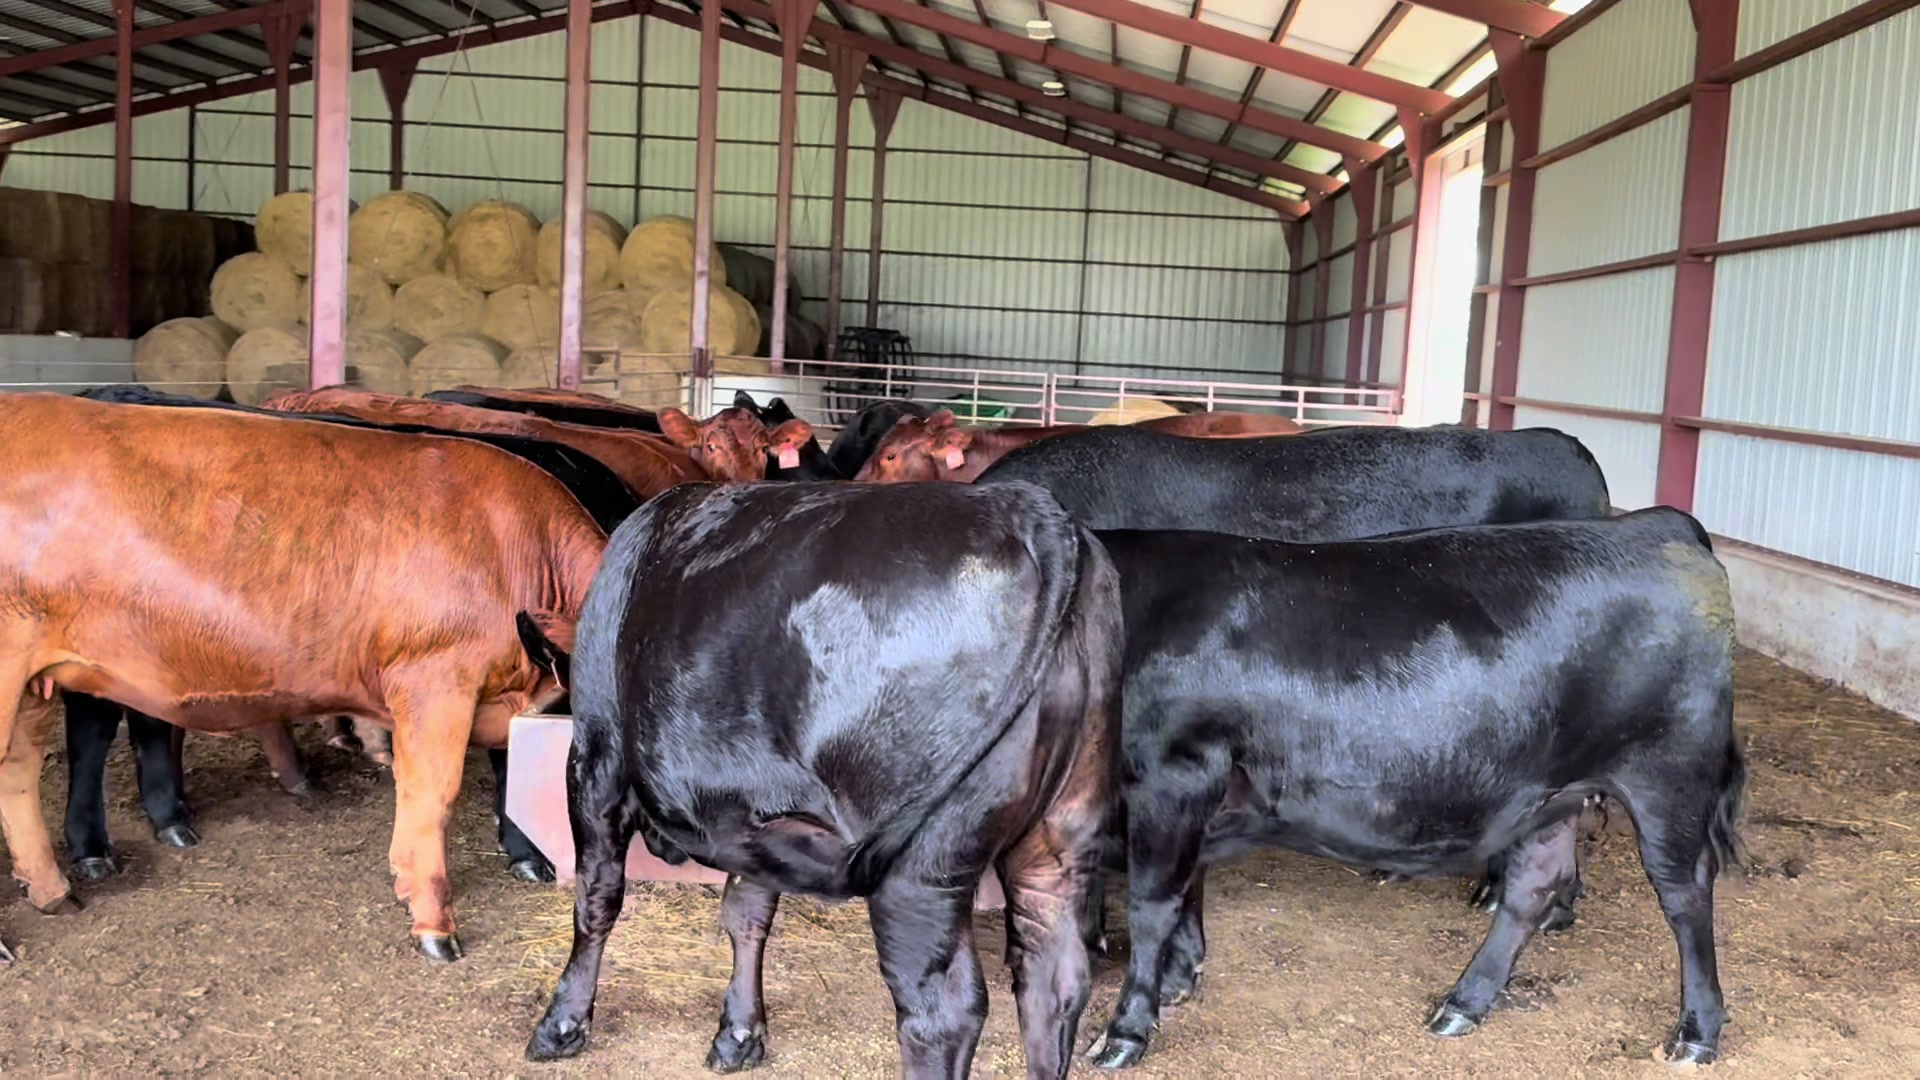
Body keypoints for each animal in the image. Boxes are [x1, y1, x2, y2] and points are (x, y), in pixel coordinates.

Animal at [0, 393, 603, 962]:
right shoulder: (436, 680)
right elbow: (434, 795)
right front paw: (435, 925)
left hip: (33, 680)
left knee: (18, 771)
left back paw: (52, 890)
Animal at [519, 482, 1124, 1080]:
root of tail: (1031, 509)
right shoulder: (750, 815)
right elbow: (746, 913)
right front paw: (740, 1033)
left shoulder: (596, 759)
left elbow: (597, 897)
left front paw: (561, 1023)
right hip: (1062, 835)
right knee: (1053, 981)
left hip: (924, 868)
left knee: (943, 1013)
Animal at [1082, 509, 1745, 1068]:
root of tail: (1657, 525)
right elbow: (1188, 887)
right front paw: (1178, 978)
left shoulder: (1170, 778)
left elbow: (1151, 906)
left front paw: (1126, 1031)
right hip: (1555, 791)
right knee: (1534, 885)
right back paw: (1464, 1003)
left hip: (1667, 774)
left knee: (1685, 892)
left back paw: (1697, 1031)